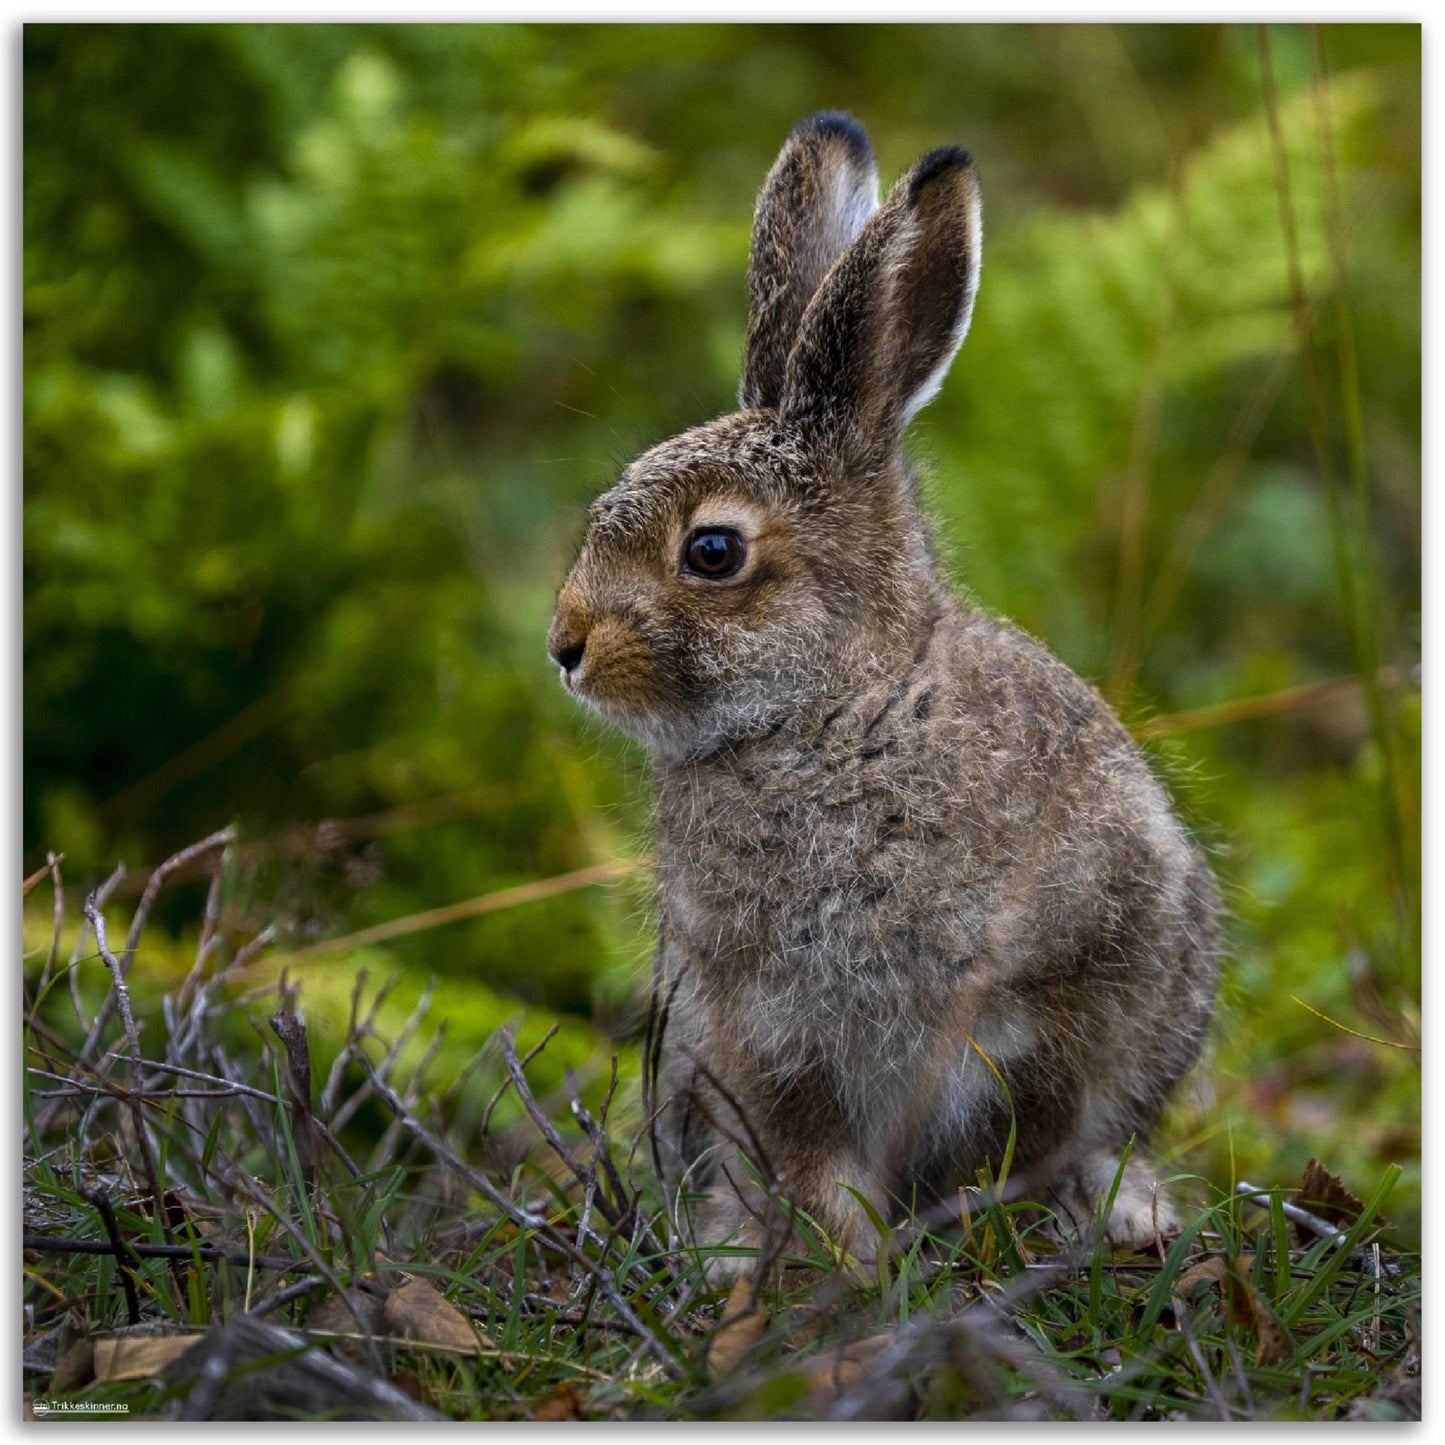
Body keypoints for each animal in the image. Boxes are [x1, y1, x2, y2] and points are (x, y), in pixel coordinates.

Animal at [547, 112, 1220, 1277]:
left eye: (711, 551)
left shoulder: (1064, 988)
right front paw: (839, 1262)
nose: (564, 644)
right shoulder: (763, 1028)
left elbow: (1041, 1125)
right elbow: (810, 1156)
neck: (838, 708)